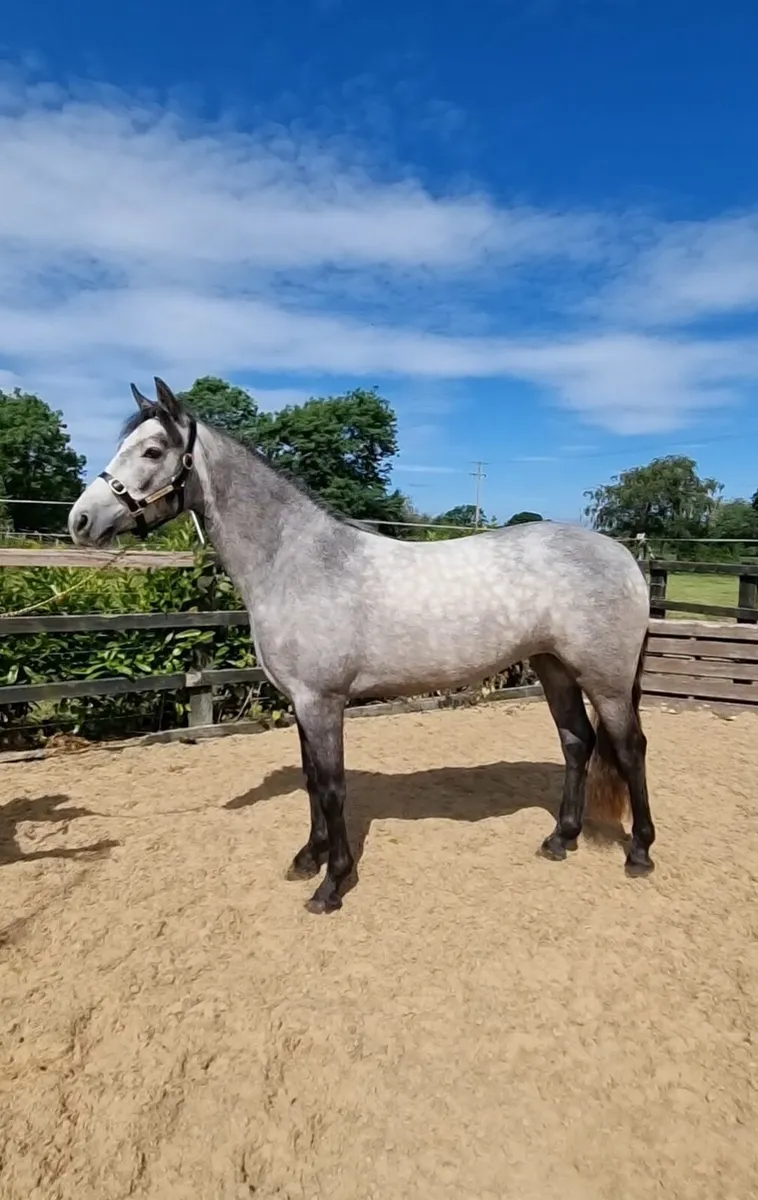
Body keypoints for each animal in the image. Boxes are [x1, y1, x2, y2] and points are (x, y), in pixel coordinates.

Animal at [68, 377, 655, 914]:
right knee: (577, 742)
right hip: (552, 667)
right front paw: (308, 858)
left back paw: (640, 853)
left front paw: (331, 884)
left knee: (629, 748)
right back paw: (561, 838)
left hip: (604, 680)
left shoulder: (323, 702)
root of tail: (623, 557)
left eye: (152, 450)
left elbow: (332, 787)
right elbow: (311, 781)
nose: (80, 520)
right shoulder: (301, 703)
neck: (298, 563)